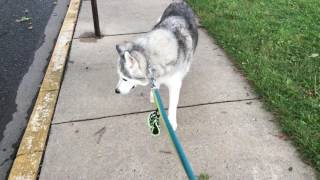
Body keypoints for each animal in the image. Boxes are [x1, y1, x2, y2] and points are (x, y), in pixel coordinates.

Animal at [115, 1, 198, 131]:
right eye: (120, 76)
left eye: (125, 79)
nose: (116, 91)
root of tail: (179, 2)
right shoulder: (155, 77)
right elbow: (155, 86)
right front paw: (153, 95)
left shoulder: (174, 85)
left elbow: (173, 104)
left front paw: (171, 122)